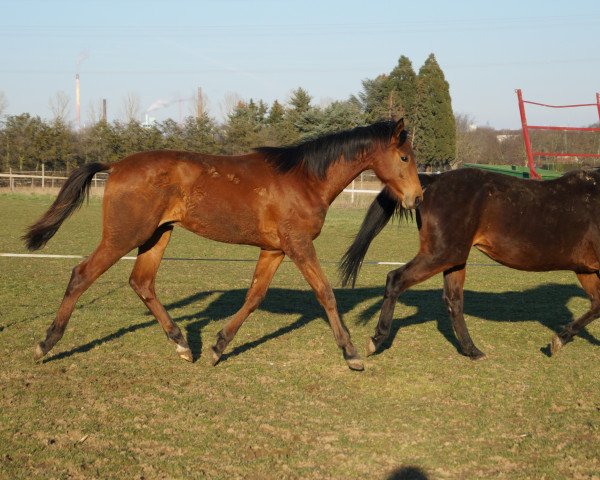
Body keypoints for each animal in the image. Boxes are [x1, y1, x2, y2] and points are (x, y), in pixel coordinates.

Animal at [23, 118, 422, 370]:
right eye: (404, 157)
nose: (416, 198)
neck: (305, 179)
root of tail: (117, 165)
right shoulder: (298, 245)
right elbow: (325, 293)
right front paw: (352, 353)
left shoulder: (275, 250)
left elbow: (254, 296)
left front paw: (217, 347)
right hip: (124, 236)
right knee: (81, 274)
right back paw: (45, 344)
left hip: (158, 235)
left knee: (142, 283)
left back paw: (184, 345)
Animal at [340, 169, 600, 360]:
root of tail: (434, 180)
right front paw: (559, 340)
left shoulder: (585, 269)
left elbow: (597, 305)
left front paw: (559, 339)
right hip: (442, 254)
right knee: (396, 279)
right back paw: (376, 340)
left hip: (454, 259)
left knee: (453, 300)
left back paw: (471, 350)